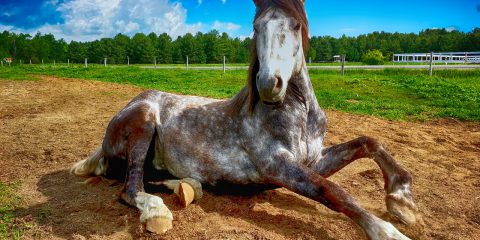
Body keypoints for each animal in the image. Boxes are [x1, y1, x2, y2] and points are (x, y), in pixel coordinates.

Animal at [69, 0, 418, 239]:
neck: (299, 115)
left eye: (296, 25)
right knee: (131, 187)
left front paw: (402, 201)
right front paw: (387, 231)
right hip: (144, 120)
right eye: (256, 27)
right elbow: (332, 191)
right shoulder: (277, 165)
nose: (268, 84)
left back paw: (187, 186)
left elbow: (368, 143)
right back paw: (157, 211)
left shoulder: (313, 159)